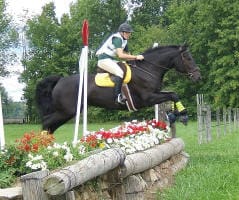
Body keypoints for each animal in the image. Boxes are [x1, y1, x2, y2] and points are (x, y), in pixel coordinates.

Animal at [36, 45, 202, 133]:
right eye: (188, 58)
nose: (198, 76)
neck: (147, 69)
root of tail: (60, 80)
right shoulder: (148, 98)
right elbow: (173, 95)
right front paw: (183, 115)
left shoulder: (155, 94)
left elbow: (173, 94)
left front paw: (174, 114)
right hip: (67, 111)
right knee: (46, 121)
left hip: (68, 111)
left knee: (50, 125)